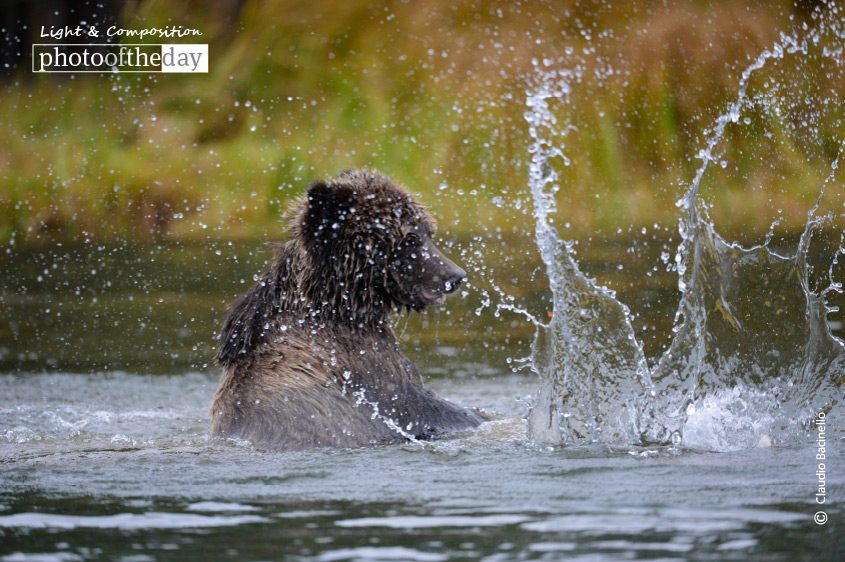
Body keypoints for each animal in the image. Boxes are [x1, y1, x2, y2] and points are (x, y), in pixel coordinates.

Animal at [210, 169, 484, 450]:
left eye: (429, 232)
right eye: (411, 237)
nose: (456, 275)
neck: (340, 309)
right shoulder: (369, 372)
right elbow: (420, 404)